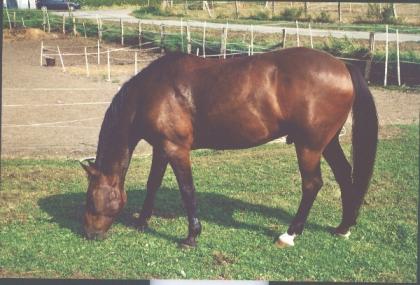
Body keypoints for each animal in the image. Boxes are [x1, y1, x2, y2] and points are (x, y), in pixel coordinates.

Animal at [80, 46, 378, 246]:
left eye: (91, 198)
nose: (90, 234)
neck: (153, 92)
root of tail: (342, 66)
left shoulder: (176, 149)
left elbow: (187, 190)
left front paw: (191, 236)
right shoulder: (161, 148)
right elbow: (153, 184)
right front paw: (142, 221)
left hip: (309, 147)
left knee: (312, 184)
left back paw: (289, 234)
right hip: (327, 142)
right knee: (345, 176)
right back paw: (343, 227)